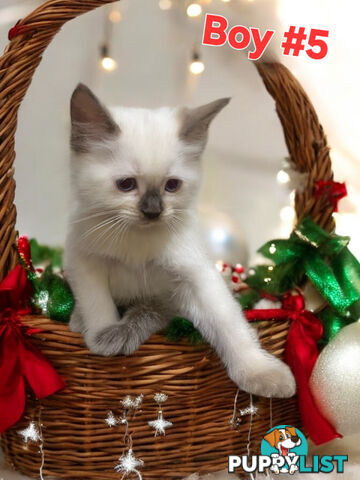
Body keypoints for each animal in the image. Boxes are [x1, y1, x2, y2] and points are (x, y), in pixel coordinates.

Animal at [64, 83, 296, 398]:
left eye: (172, 185)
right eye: (126, 184)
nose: (153, 212)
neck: (138, 241)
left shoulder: (196, 277)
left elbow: (230, 325)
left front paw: (260, 372)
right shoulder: (85, 262)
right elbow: (98, 306)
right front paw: (102, 336)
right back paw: (79, 320)